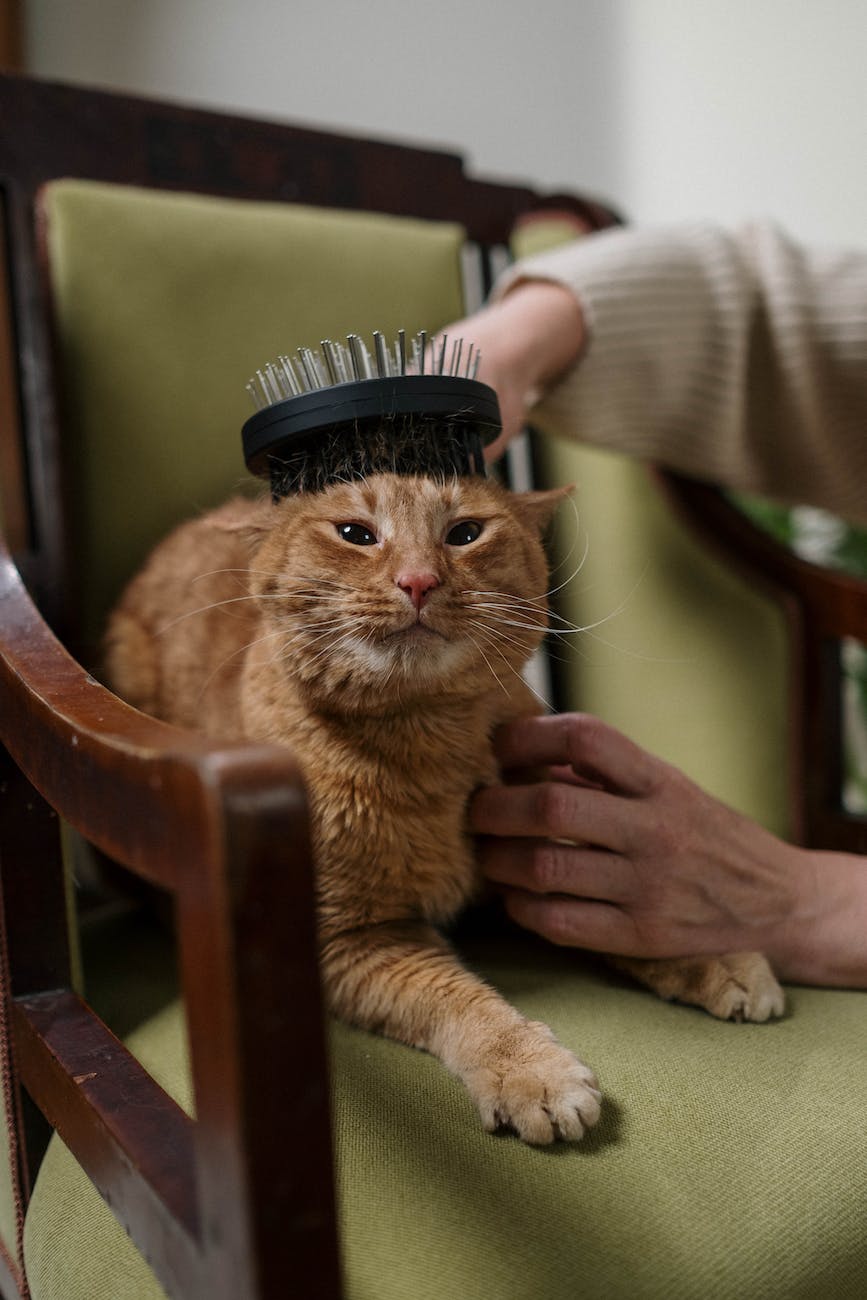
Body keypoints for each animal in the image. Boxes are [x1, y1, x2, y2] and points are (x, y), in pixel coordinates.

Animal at [105, 473, 785, 1144]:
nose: (418, 580)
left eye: (464, 534)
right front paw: (530, 1071)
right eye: (355, 534)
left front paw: (712, 955)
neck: (428, 742)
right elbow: (454, 998)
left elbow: (621, 918)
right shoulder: (353, 939)